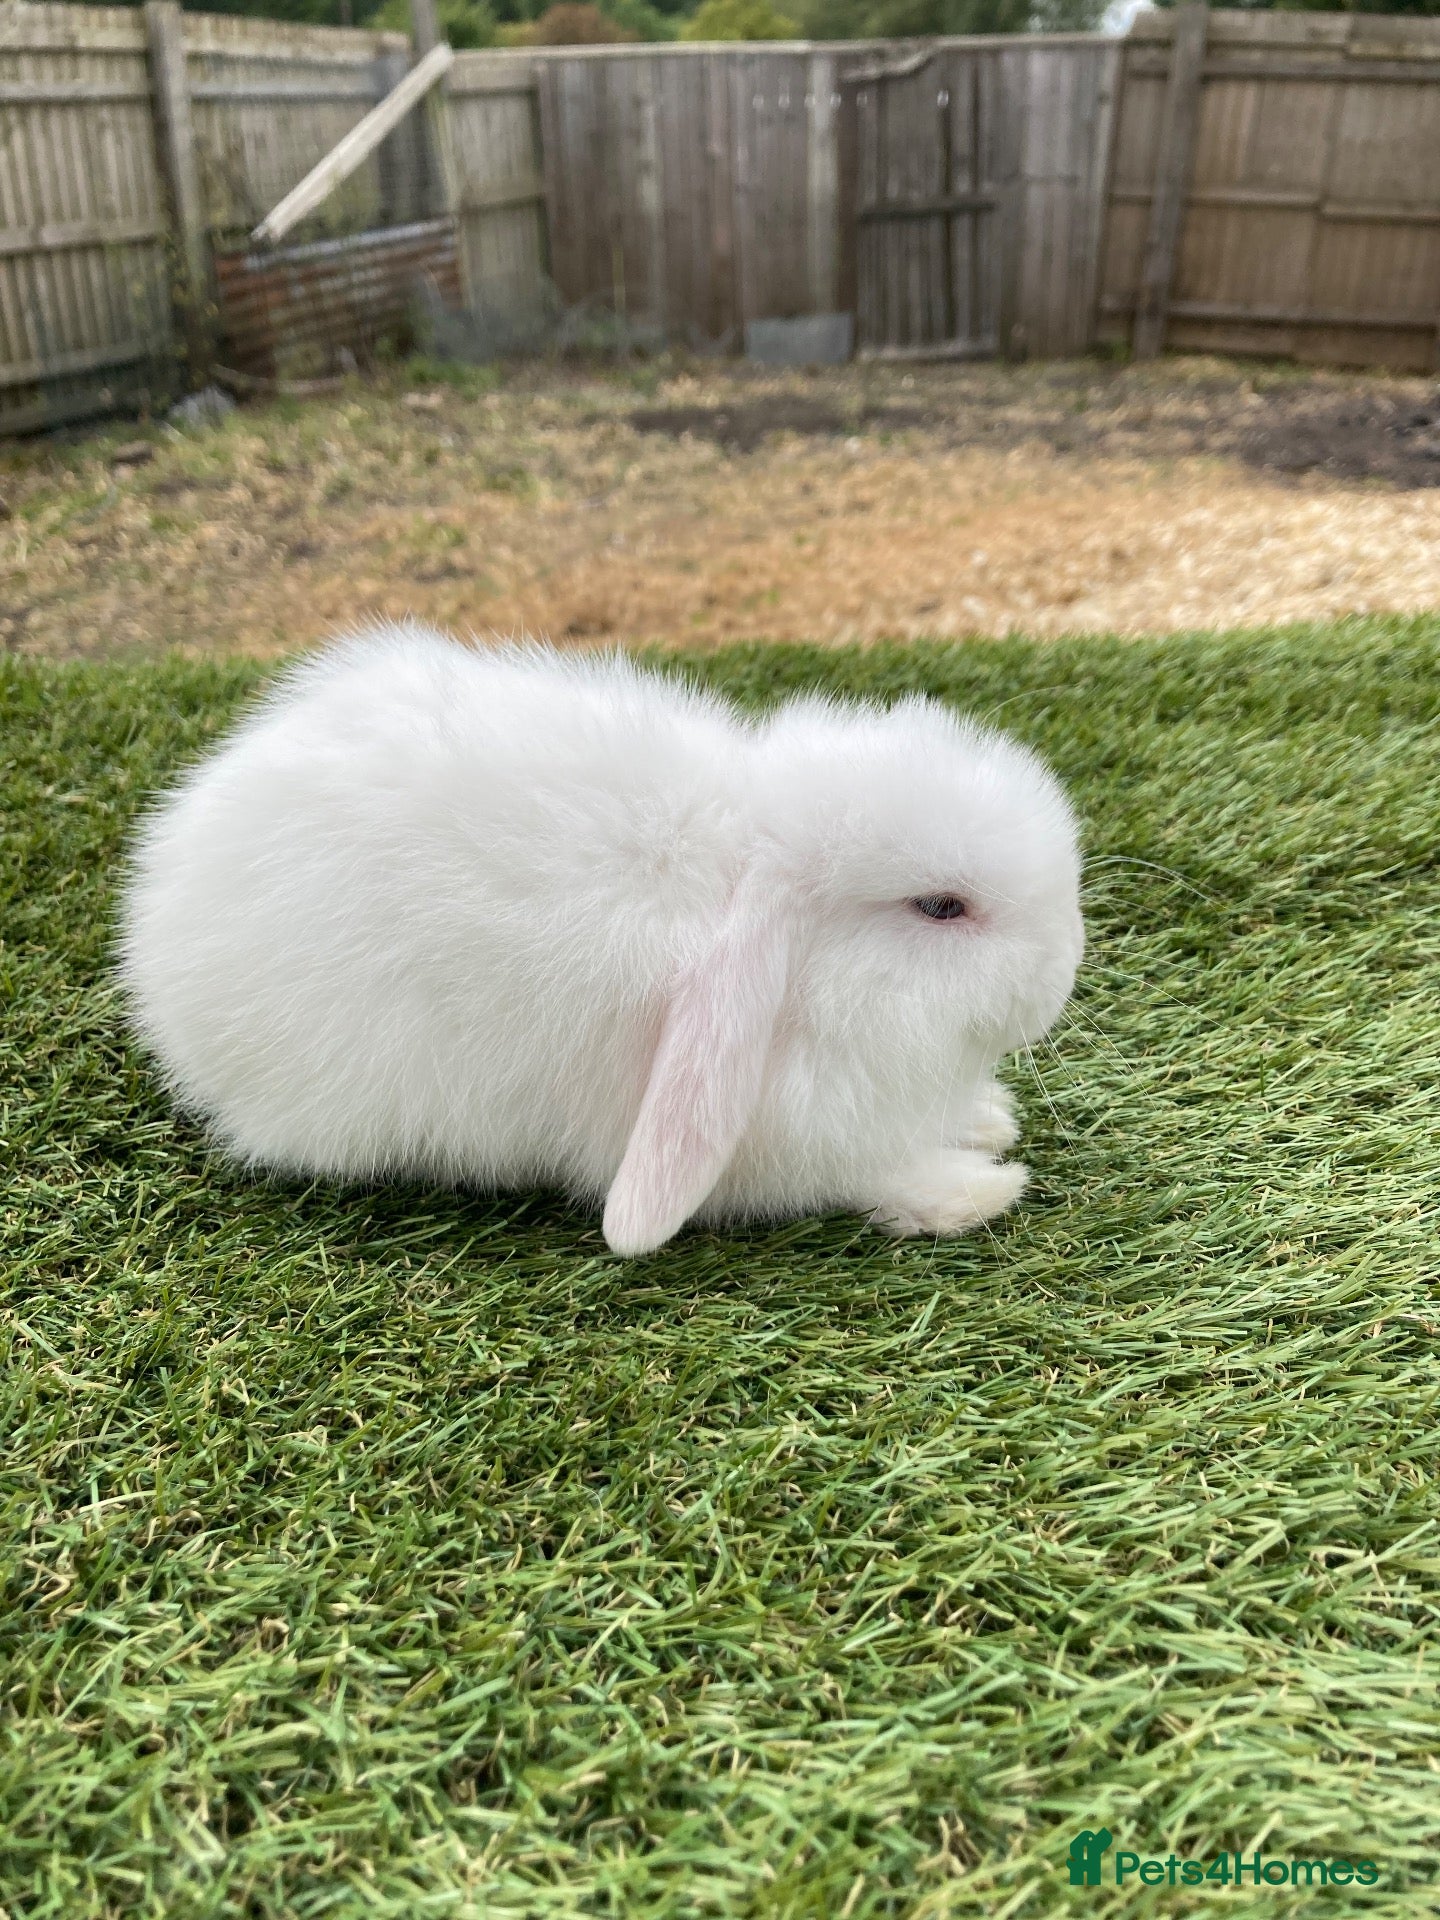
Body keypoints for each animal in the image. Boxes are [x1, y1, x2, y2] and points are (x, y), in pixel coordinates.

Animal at [119, 623, 1084, 1256]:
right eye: (941, 907)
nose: (1064, 969)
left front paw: (987, 1118)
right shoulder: (787, 1140)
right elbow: (873, 1177)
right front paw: (976, 1189)